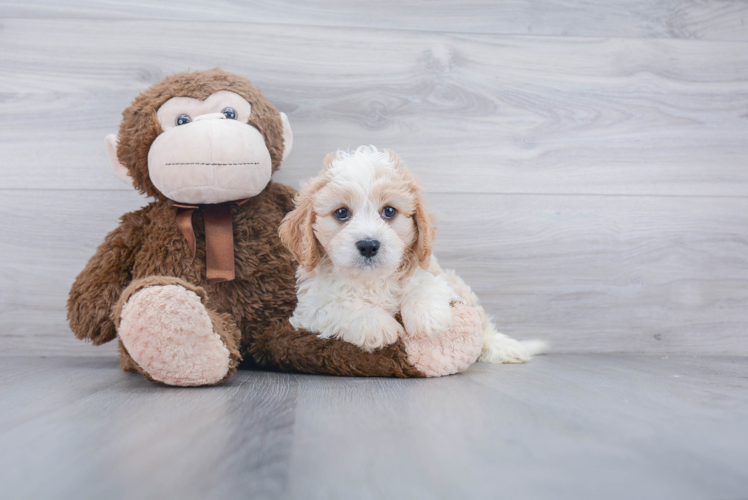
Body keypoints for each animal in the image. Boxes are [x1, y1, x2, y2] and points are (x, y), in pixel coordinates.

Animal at [278, 146, 548, 362]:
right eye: (341, 213)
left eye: (389, 211)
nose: (368, 245)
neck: (371, 280)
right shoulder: (309, 310)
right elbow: (341, 306)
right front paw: (378, 325)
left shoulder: (434, 273)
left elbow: (422, 282)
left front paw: (427, 317)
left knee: (483, 325)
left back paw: (506, 347)